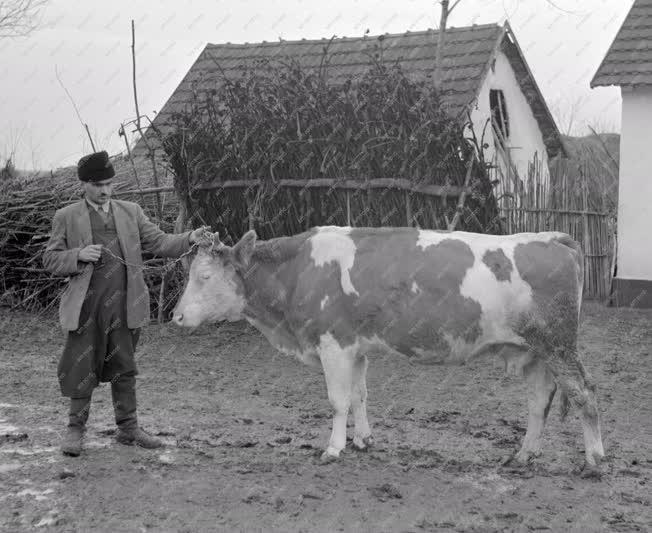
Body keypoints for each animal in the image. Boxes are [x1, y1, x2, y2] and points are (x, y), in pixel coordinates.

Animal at [171, 224, 604, 470]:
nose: (175, 317)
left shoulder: (333, 343)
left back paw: (594, 460)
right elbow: (359, 395)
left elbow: (338, 401)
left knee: (585, 394)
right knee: (538, 402)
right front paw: (363, 440)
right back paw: (523, 456)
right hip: (536, 352)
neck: (297, 272)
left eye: (204, 276)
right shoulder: (356, 347)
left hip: (559, 346)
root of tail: (552, 238)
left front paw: (334, 448)